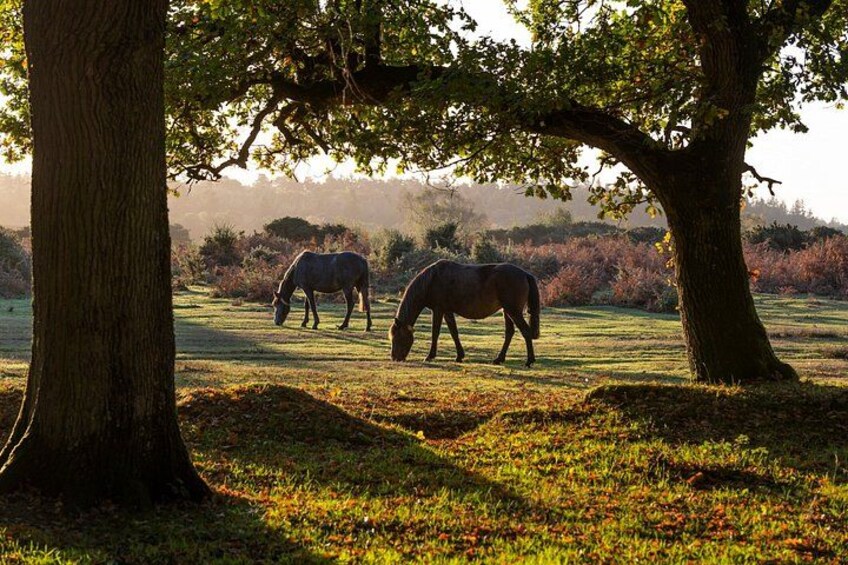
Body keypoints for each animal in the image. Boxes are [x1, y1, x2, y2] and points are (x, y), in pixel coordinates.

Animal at [389, 259, 541, 367]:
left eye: (397, 337)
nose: (395, 358)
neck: (432, 280)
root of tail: (525, 274)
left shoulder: (438, 310)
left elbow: (435, 333)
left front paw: (430, 356)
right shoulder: (447, 311)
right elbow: (454, 332)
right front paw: (459, 356)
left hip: (513, 311)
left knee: (525, 332)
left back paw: (529, 361)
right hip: (507, 311)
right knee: (509, 333)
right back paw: (499, 359)